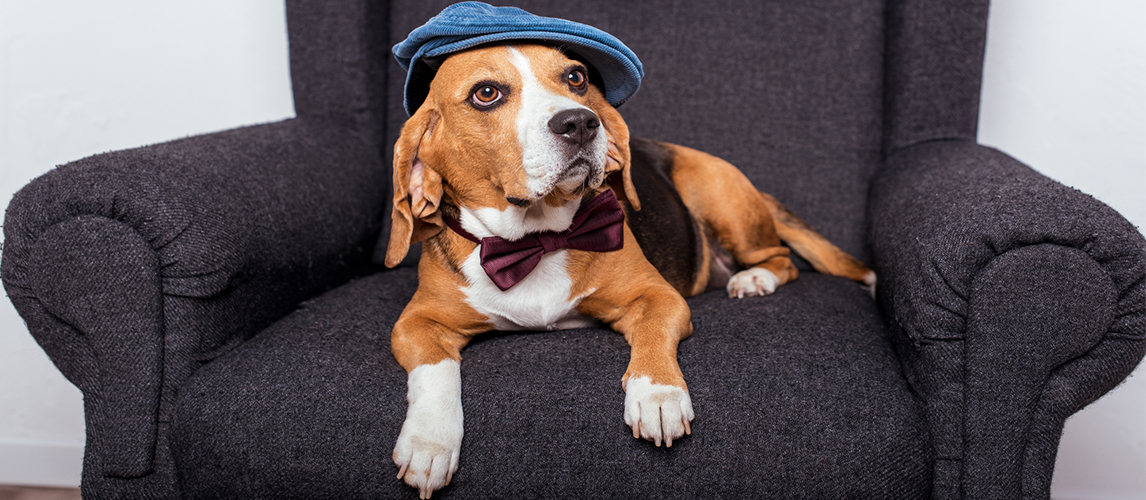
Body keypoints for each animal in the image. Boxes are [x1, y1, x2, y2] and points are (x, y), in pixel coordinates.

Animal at [380, 43, 870, 499]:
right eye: (486, 93)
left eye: (575, 77)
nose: (580, 122)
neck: (537, 239)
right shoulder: (415, 324)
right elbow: (435, 371)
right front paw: (429, 442)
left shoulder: (659, 296)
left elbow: (652, 337)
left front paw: (657, 395)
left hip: (718, 194)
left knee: (779, 256)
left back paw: (753, 279)